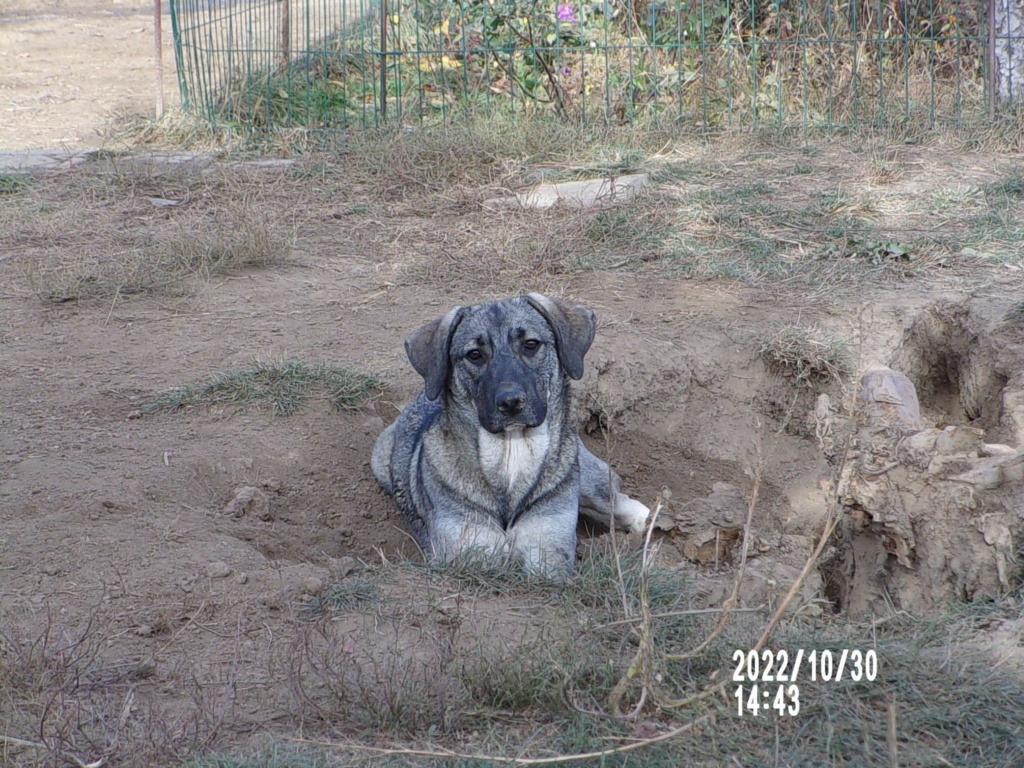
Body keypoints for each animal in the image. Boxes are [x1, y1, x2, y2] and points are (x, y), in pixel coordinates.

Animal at [372, 292, 651, 577]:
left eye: (531, 344)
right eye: (474, 354)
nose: (510, 402)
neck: (511, 453)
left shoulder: (548, 549)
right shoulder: (469, 552)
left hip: (589, 481)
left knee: (626, 505)